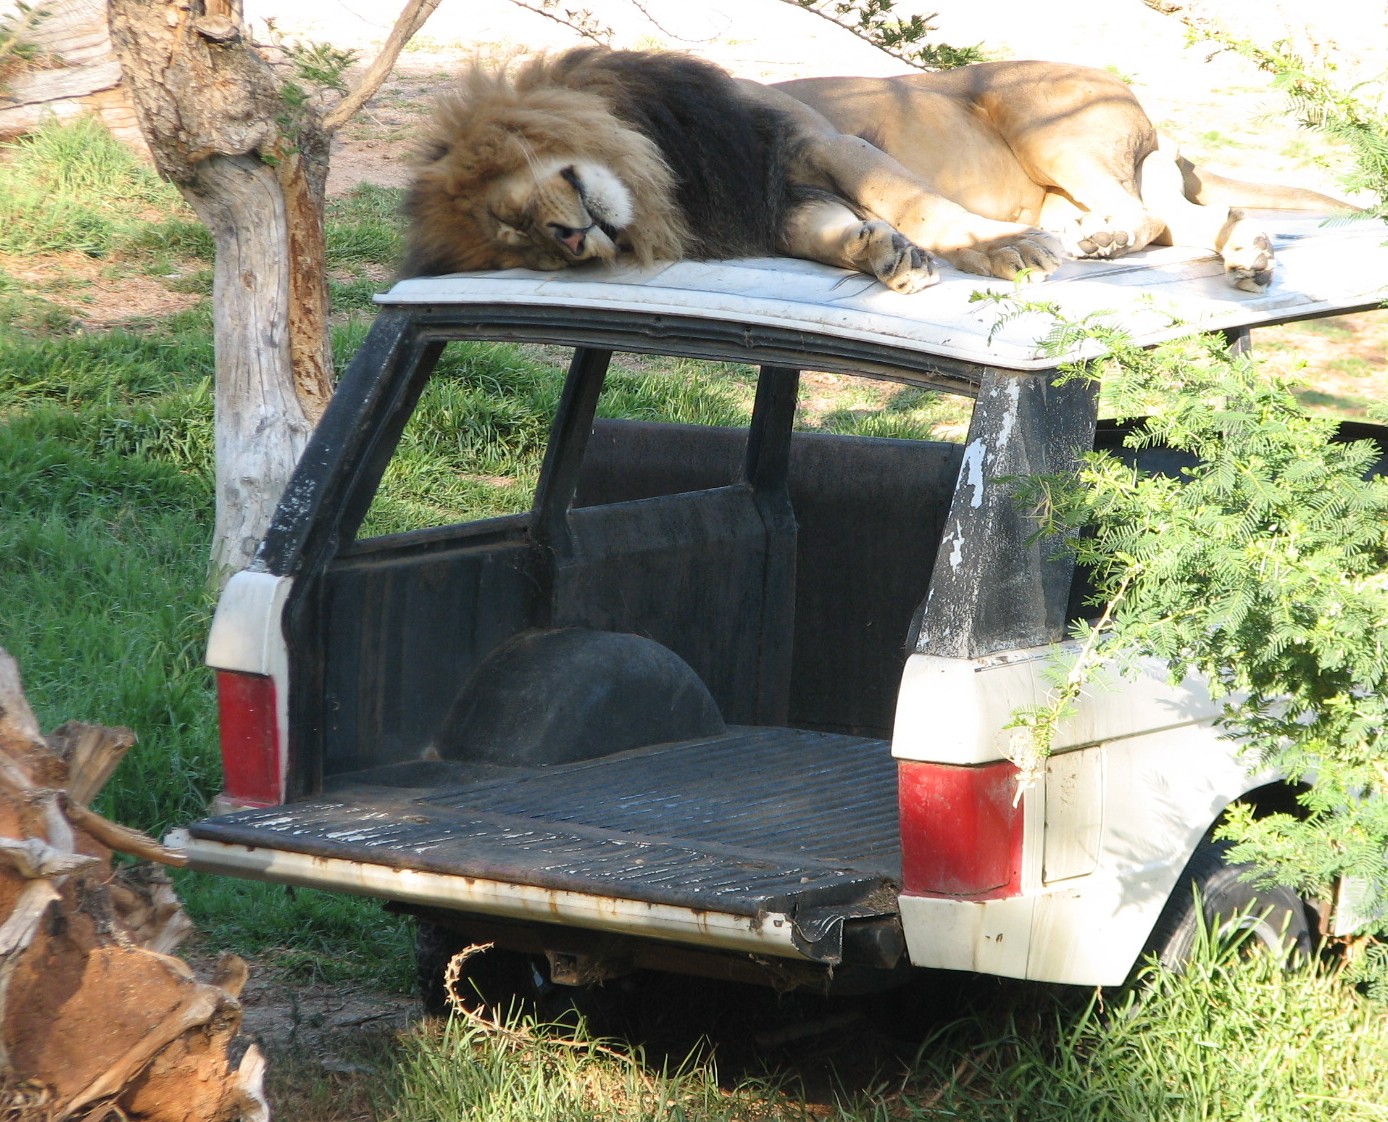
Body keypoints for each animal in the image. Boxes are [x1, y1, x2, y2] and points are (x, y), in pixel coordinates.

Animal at [402, 49, 1349, 294]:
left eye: (515, 206)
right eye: (516, 240)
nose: (571, 242)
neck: (668, 172)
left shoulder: (813, 141)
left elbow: (916, 201)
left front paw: (1003, 252)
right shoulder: (778, 205)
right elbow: (835, 233)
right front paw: (879, 255)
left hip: (1039, 119)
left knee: (1151, 216)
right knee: (1183, 220)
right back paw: (1236, 254)